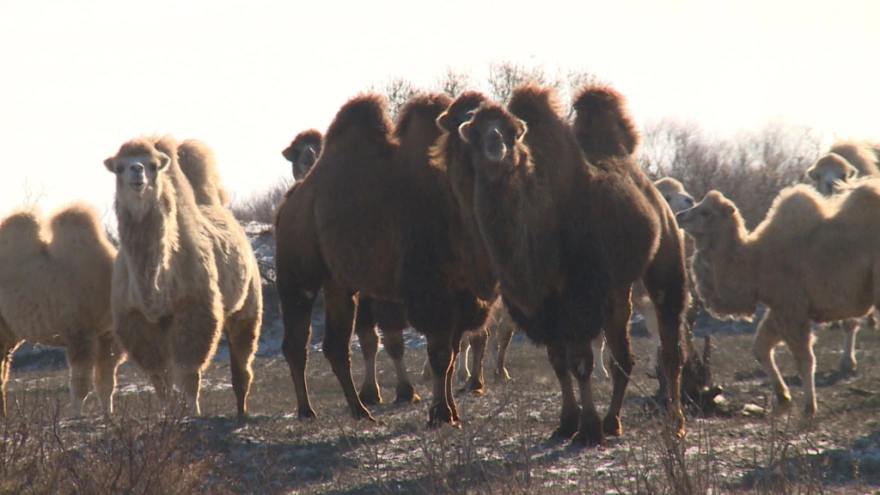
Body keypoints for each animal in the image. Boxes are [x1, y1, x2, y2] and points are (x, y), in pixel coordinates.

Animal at [0, 203, 122, 418]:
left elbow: (106, 383)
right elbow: (80, 383)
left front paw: (109, 415)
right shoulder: (80, 334)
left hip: (9, 332)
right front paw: (76, 415)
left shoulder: (108, 335)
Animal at [104, 135, 262, 422]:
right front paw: (167, 414)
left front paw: (193, 412)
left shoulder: (195, 308)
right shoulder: (136, 320)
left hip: (248, 304)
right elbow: (160, 377)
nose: (136, 170)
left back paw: (242, 410)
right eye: (119, 168)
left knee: (242, 358)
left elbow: (188, 371)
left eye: (153, 166)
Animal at [274, 92, 498, 426]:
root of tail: (288, 204)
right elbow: (439, 354)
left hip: (338, 284)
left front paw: (450, 411)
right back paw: (307, 410)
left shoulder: (462, 294)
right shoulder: (430, 291)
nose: (490, 139)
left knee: (336, 346)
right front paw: (439, 413)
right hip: (297, 276)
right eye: (461, 120)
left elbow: (452, 352)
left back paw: (360, 410)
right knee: (297, 343)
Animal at [444, 83, 688, 446]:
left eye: (511, 132)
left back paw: (675, 420)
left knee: (670, 342)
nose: (495, 144)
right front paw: (567, 422)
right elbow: (558, 361)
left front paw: (587, 429)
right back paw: (614, 420)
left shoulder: (578, 293)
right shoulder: (541, 304)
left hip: (666, 251)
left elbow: (580, 362)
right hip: (617, 287)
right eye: (475, 131)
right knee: (622, 355)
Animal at [677, 180, 880, 417]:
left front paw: (808, 408)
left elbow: (804, 360)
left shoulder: (791, 308)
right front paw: (783, 398)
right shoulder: (779, 308)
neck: (757, 261)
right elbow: (760, 347)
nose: (680, 215)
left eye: (705, 212)